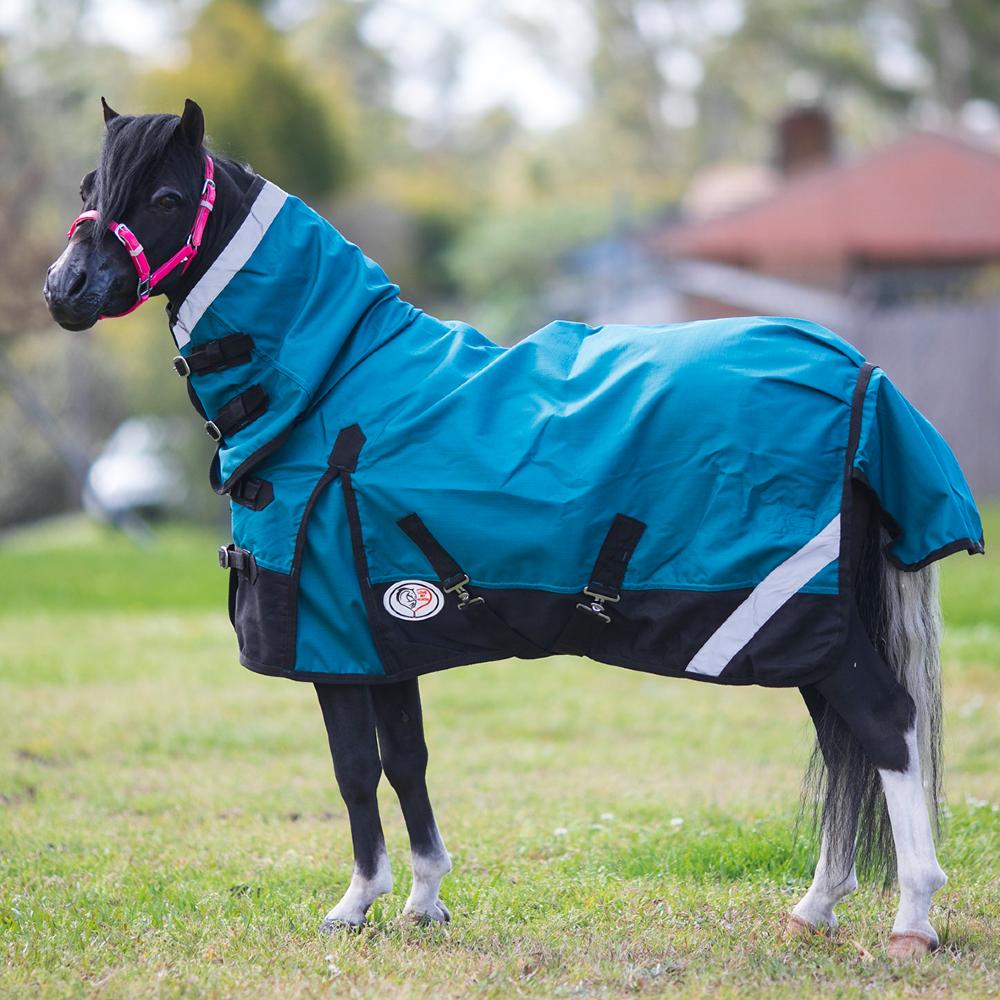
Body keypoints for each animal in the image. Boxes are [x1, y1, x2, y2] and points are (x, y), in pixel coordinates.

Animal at [43, 99, 984, 958]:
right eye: (89, 187)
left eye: (166, 196)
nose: (65, 290)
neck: (331, 390)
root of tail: (857, 371)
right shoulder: (385, 641)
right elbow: (406, 761)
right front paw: (424, 902)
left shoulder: (332, 643)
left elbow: (354, 770)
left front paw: (356, 905)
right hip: (811, 630)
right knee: (847, 743)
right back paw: (814, 909)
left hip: (811, 626)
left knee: (886, 727)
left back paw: (912, 919)